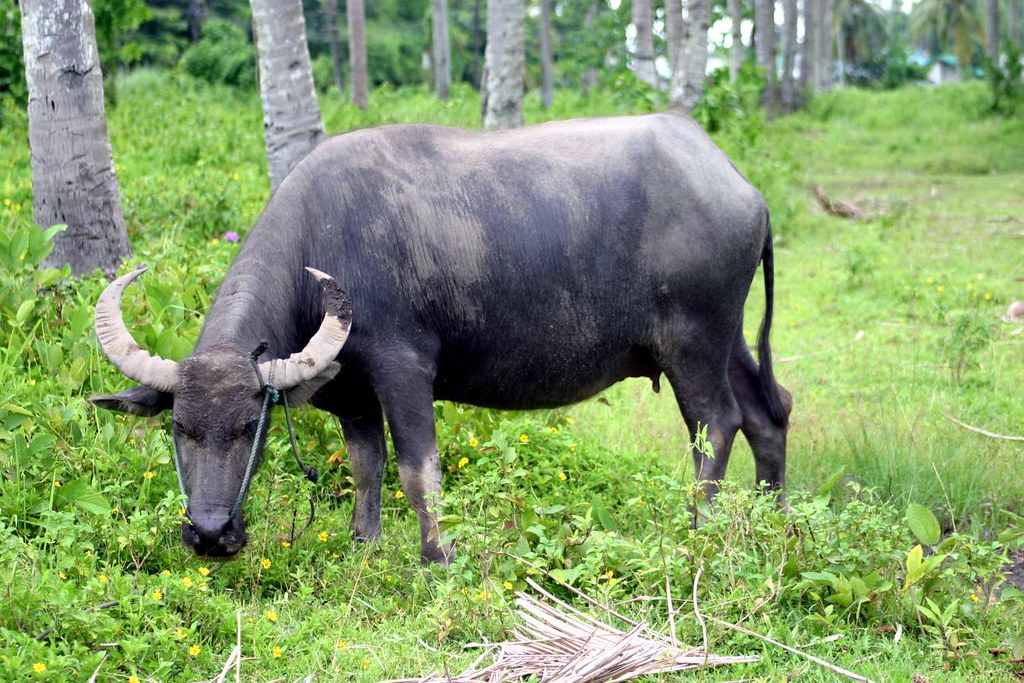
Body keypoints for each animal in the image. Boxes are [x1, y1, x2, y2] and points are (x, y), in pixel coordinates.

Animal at [92, 111, 792, 564]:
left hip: (692, 342)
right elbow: (366, 464)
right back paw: (778, 523)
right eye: (179, 429)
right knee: (768, 411)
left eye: (249, 429)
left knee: (716, 425)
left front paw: (437, 553)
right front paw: (364, 544)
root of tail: (743, 187)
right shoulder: (349, 392)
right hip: (726, 337)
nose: (211, 535)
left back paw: (698, 531)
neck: (325, 238)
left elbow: (415, 467)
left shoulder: (402, 368)